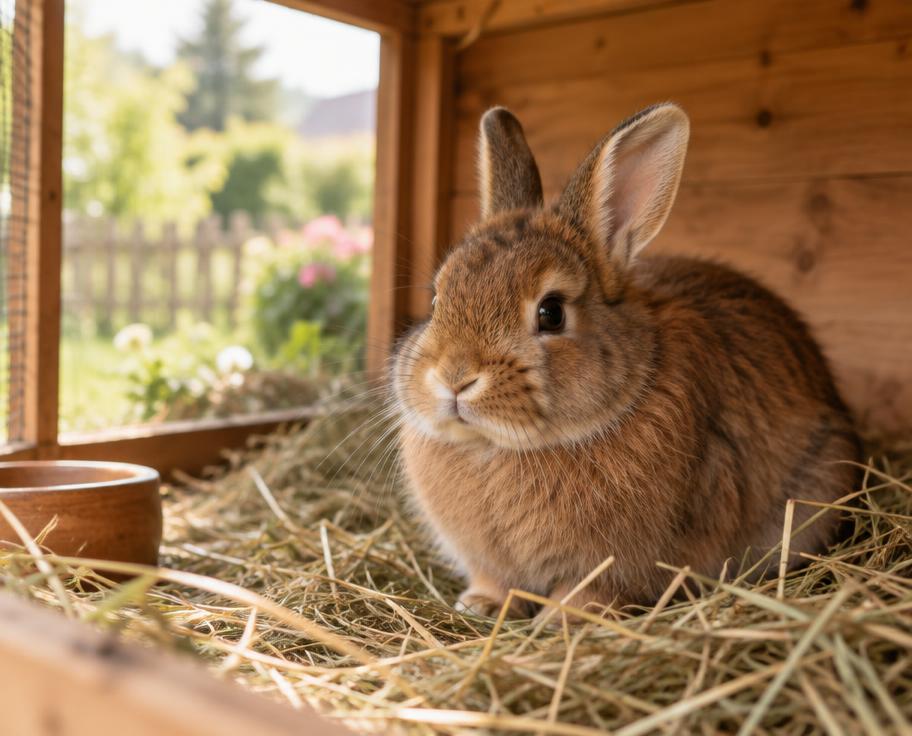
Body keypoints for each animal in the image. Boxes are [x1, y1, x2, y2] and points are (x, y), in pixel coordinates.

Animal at [391, 103, 861, 618]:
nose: (454, 378)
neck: (496, 449)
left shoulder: (618, 565)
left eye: (551, 312)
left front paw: (562, 617)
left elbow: (592, 590)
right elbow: (495, 581)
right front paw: (480, 604)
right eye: (437, 299)